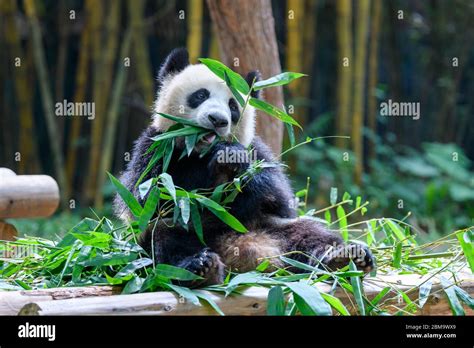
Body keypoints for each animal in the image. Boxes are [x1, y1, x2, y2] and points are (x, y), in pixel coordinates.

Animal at [115, 47, 374, 286]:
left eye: (233, 106)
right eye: (200, 95)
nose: (218, 120)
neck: (199, 150)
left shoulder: (256, 150)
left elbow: (278, 195)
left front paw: (230, 160)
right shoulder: (154, 147)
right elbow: (146, 197)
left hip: (271, 227)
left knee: (311, 234)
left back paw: (344, 258)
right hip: (172, 237)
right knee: (164, 240)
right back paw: (200, 268)